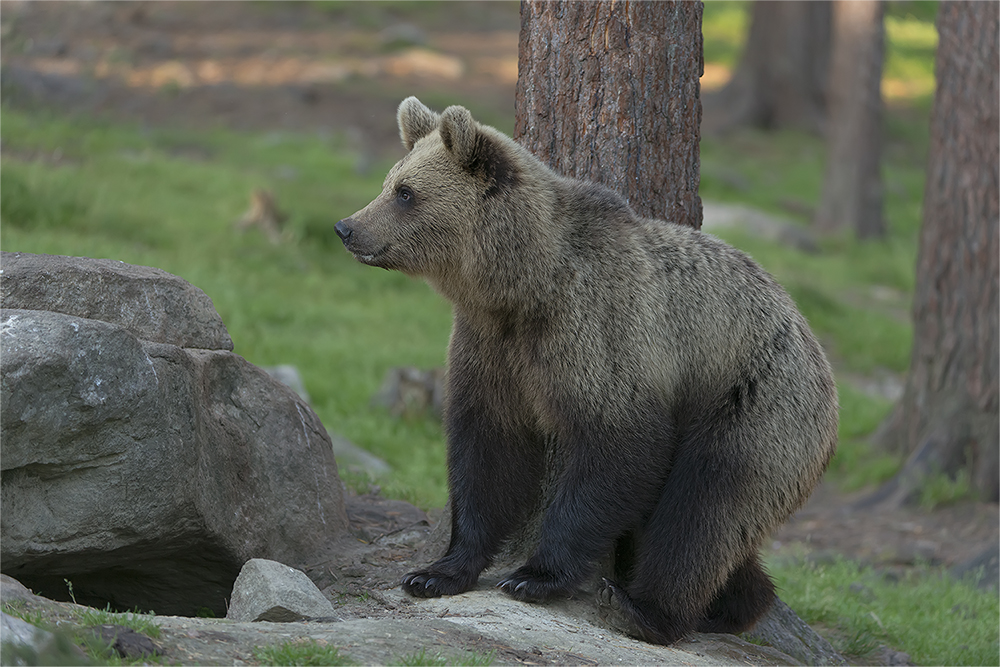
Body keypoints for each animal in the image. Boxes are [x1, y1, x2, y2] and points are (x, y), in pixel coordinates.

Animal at [334, 96, 836, 644]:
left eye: (405, 193)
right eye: (390, 182)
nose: (347, 227)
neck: (521, 288)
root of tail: (817, 353)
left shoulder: (597, 331)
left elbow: (616, 447)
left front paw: (533, 575)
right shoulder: (490, 349)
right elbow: (486, 452)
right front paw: (436, 572)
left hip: (754, 403)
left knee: (705, 508)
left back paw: (644, 607)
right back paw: (735, 604)